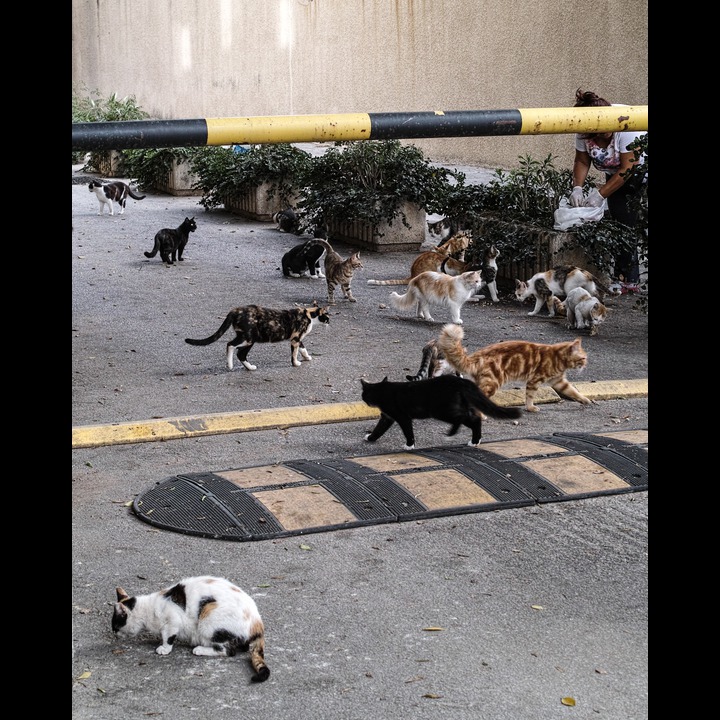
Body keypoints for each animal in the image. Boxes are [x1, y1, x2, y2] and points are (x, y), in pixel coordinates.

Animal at [112, 576, 270, 684]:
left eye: (114, 625)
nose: (113, 633)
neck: (148, 609)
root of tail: (258, 623)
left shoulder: (173, 619)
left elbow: (168, 636)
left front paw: (164, 648)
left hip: (208, 615)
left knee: (228, 651)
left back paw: (199, 649)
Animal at [186, 302, 332, 372]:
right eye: (328, 316)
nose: (330, 322)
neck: (309, 315)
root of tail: (235, 310)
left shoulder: (297, 339)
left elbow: (303, 348)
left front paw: (307, 357)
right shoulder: (296, 338)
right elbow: (294, 353)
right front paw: (296, 363)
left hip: (247, 337)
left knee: (238, 351)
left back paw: (248, 367)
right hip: (249, 337)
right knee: (232, 346)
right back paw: (232, 365)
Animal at [362, 374, 520, 448]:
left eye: (364, 395)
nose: (365, 400)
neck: (382, 390)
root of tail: (460, 381)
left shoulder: (401, 416)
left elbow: (408, 431)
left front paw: (409, 445)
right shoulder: (387, 417)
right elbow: (379, 429)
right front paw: (370, 438)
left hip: (441, 410)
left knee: (462, 418)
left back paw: (453, 433)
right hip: (459, 406)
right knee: (475, 418)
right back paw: (475, 441)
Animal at [436, 324, 592, 414]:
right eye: (583, 358)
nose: (586, 364)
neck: (557, 357)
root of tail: (476, 355)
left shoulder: (559, 381)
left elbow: (573, 391)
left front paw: (585, 400)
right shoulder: (534, 380)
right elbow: (529, 396)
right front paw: (530, 408)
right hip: (492, 383)